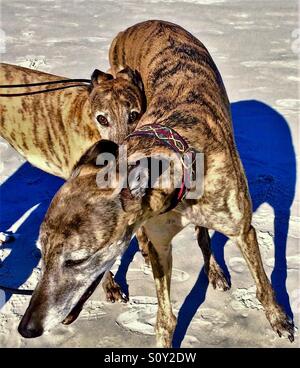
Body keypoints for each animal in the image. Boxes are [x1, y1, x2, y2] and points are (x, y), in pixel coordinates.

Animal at [18, 21, 292, 346]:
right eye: (41, 253)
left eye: (76, 260)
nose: (27, 328)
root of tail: (141, 24)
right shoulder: (161, 243)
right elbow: (165, 318)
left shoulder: (243, 229)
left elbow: (262, 285)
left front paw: (279, 319)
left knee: (204, 236)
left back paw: (213, 271)